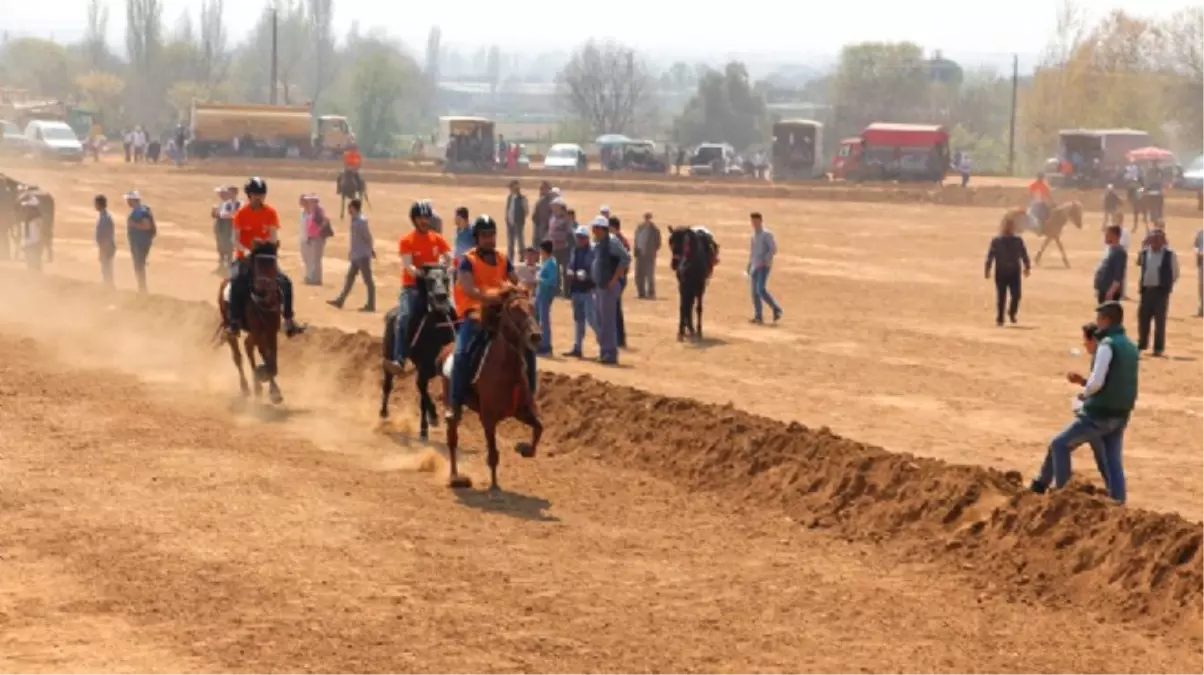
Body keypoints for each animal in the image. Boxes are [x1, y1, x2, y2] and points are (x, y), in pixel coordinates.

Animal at [217, 247, 285, 404]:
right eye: (258, 265)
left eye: (273, 265)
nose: (264, 288)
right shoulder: (258, 331)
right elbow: (266, 357)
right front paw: (273, 390)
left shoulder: (271, 330)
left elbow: (272, 360)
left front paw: (271, 387)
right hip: (231, 327)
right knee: (237, 356)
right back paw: (246, 387)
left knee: (248, 346)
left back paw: (257, 386)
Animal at [380, 261, 455, 440]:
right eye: (429, 280)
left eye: (446, 278)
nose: (441, 296)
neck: (436, 331)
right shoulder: (422, 370)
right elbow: (423, 394)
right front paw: (432, 418)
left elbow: (424, 398)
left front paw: (426, 427)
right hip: (388, 358)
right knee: (387, 384)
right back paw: (384, 412)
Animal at [438, 283, 541, 488]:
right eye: (515, 309)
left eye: (532, 307)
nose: (535, 336)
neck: (508, 372)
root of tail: (446, 349)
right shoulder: (488, 418)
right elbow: (493, 455)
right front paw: (494, 487)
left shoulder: (523, 411)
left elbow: (539, 428)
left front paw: (524, 448)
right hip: (450, 403)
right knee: (452, 440)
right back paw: (455, 477)